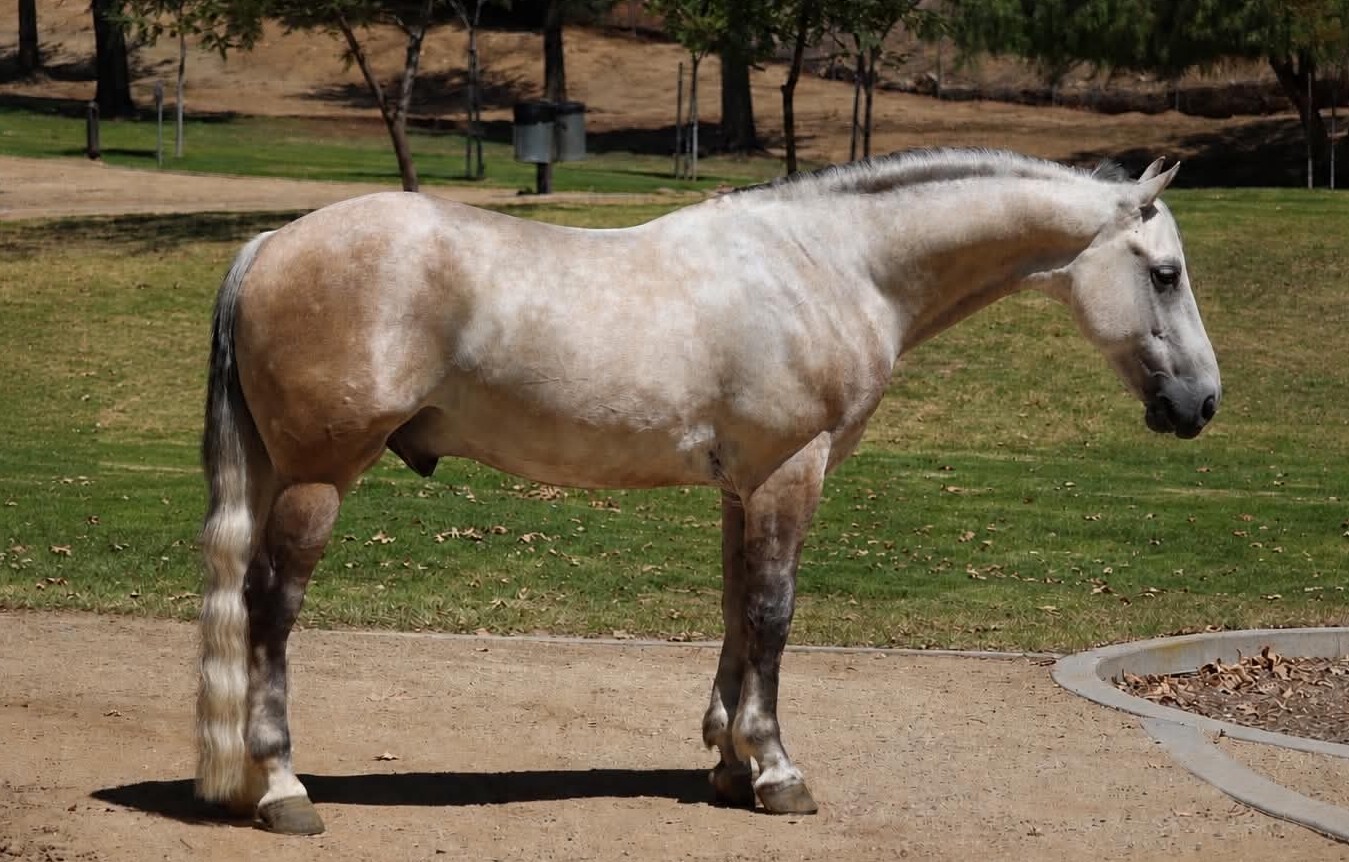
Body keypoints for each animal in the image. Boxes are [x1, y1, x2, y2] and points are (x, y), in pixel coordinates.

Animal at [195, 148, 1220, 835]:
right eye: (1165, 274)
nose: (1201, 403)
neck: (830, 265)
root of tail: (272, 243)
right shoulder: (790, 471)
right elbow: (772, 614)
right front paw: (775, 771)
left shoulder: (744, 487)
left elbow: (735, 611)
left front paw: (728, 763)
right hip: (318, 480)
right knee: (271, 609)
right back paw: (282, 789)